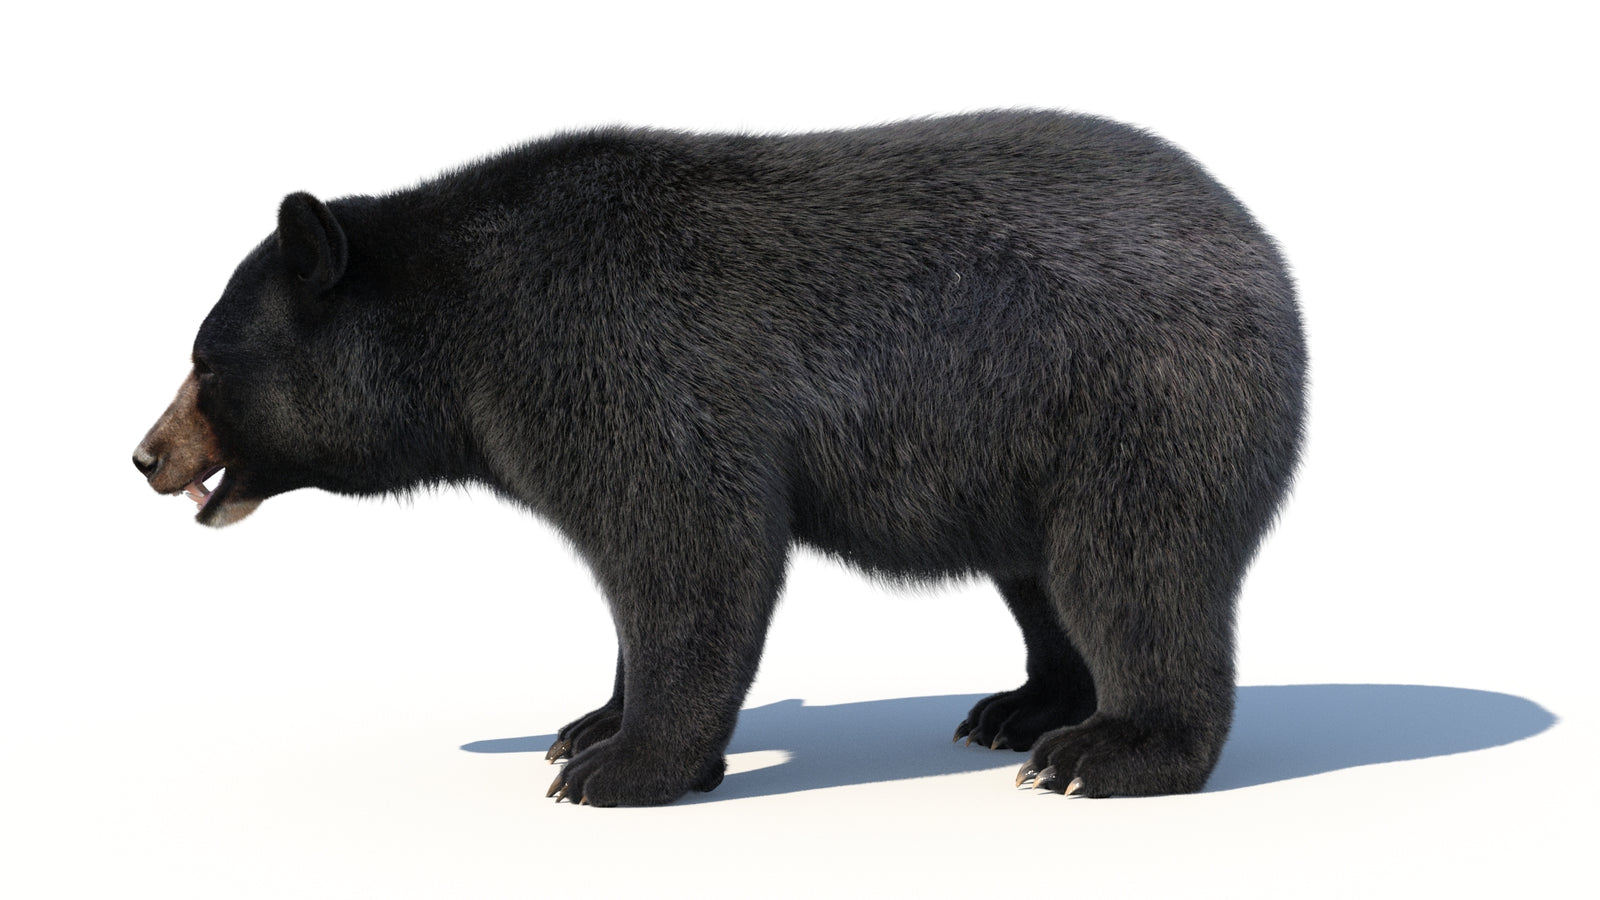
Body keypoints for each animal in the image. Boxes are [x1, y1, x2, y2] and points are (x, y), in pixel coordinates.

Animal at [133, 110, 1306, 807]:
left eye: (206, 359)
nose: (144, 455)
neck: (461, 330)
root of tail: (1260, 245)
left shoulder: (616, 355)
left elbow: (691, 545)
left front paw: (621, 767)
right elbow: (640, 571)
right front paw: (589, 722)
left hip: (1144, 397)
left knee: (1133, 567)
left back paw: (1108, 749)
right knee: (1045, 576)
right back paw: (1025, 707)